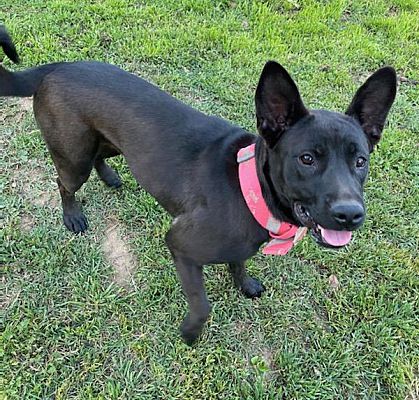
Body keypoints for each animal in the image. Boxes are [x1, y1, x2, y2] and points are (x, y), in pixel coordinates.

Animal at [0, 25, 398, 344]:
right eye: (307, 159)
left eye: (360, 161)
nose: (350, 214)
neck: (249, 190)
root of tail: (59, 66)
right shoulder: (181, 245)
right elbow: (203, 304)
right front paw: (191, 333)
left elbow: (239, 263)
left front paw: (244, 284)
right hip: (73, 157)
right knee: (64, 182)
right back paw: (72, 216)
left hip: (110, 143)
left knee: (101, 157)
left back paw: (110, 177)